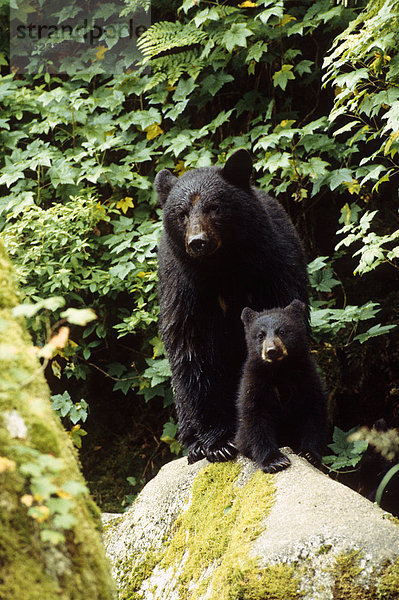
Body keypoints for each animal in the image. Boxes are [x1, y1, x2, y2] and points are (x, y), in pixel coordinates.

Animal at [155, 149, 310, 464]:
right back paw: (194, 445)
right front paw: (218, 443)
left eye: (214, 207)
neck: (222, 271)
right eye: (181, 213)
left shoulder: (273, 271)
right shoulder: (186, 294)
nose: (197, 242)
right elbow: (194, 352)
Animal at [236, 300, 326, 474]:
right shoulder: (254, 384)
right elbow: (256, 418)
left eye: (282, 331)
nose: (272, 351)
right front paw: (275, 461)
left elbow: (314, 412)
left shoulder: (307, 379)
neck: (280, 371)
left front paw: (310, 454)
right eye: (260, 335)